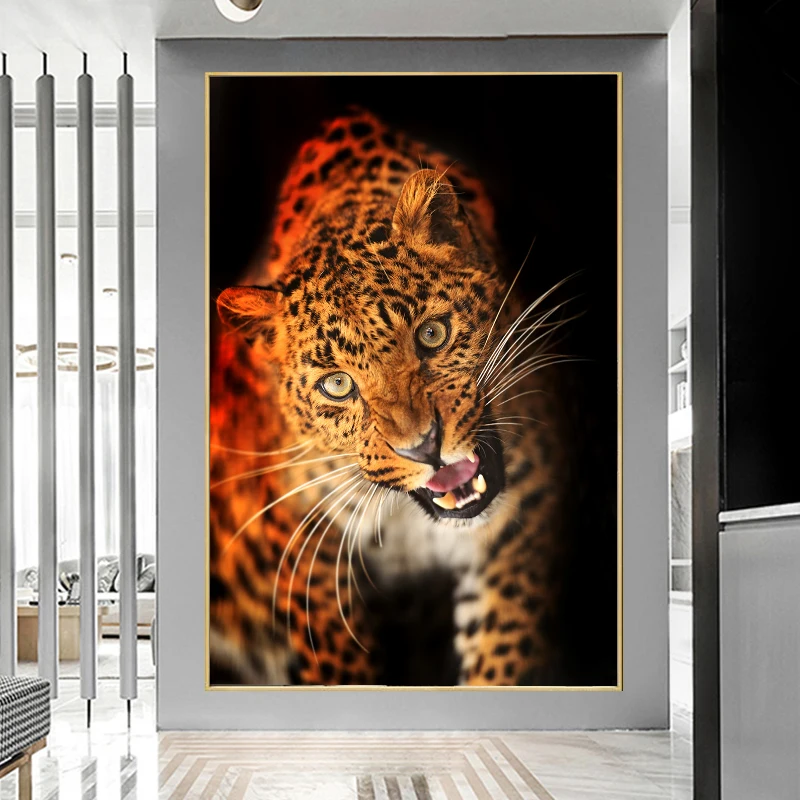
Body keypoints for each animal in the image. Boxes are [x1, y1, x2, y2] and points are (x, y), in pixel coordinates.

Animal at [209, 107, 572, 687]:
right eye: (338, 385)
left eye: (432, 335)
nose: (425, 447)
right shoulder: (303, 547)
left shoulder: (526, 510)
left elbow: (504, 650)